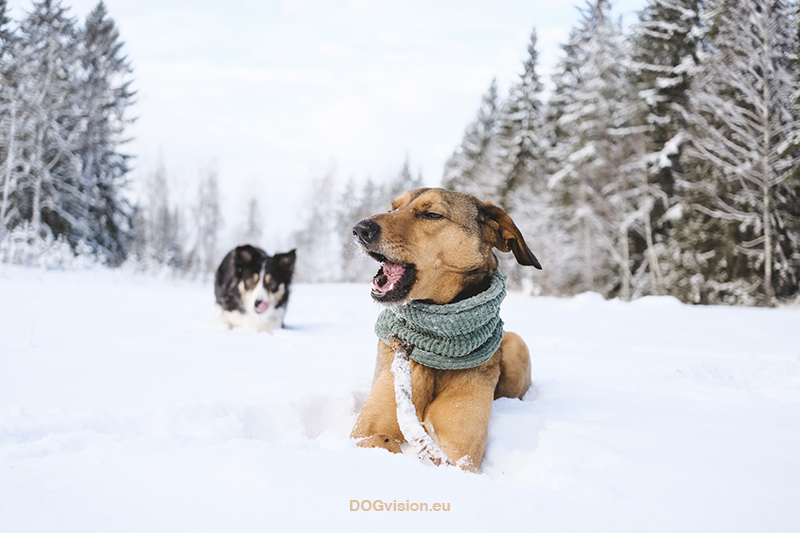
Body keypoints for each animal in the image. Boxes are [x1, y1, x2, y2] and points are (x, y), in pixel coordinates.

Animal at [354, 186, 540, 470]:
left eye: (432, 214)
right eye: (392, 208)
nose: (360, 229)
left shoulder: (461, 453)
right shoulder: (364, 432)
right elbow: (382, 440)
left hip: (517, 345)